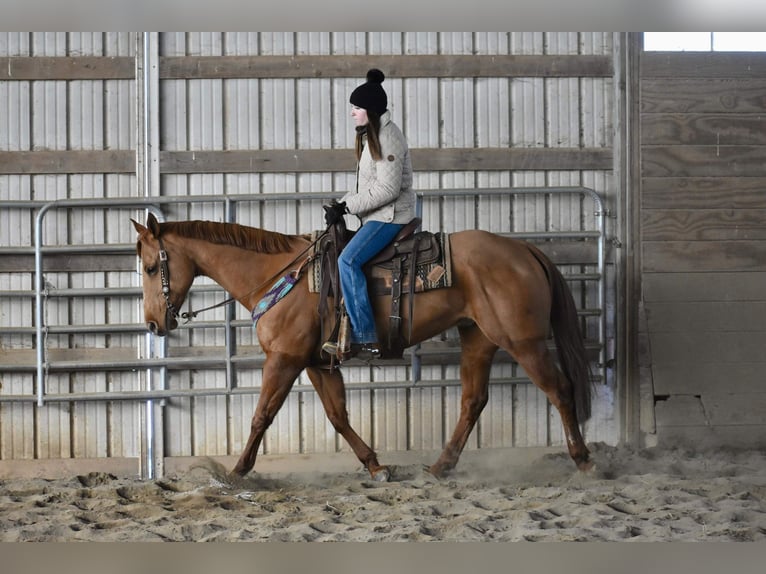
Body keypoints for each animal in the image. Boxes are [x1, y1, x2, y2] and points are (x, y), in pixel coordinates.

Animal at [132, 214, 596, 484]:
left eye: (152, 267)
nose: (154, 323)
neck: (280, 275)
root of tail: (524, 249)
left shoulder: (284, 359)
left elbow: (262, 415)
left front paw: (236, 472)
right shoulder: (317, 363)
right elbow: (338, 416)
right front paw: (376, 465)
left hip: (524, 342)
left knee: (560, 390)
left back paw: (584, 460)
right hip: (478, 338)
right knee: (473, 401)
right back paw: (441, 467)